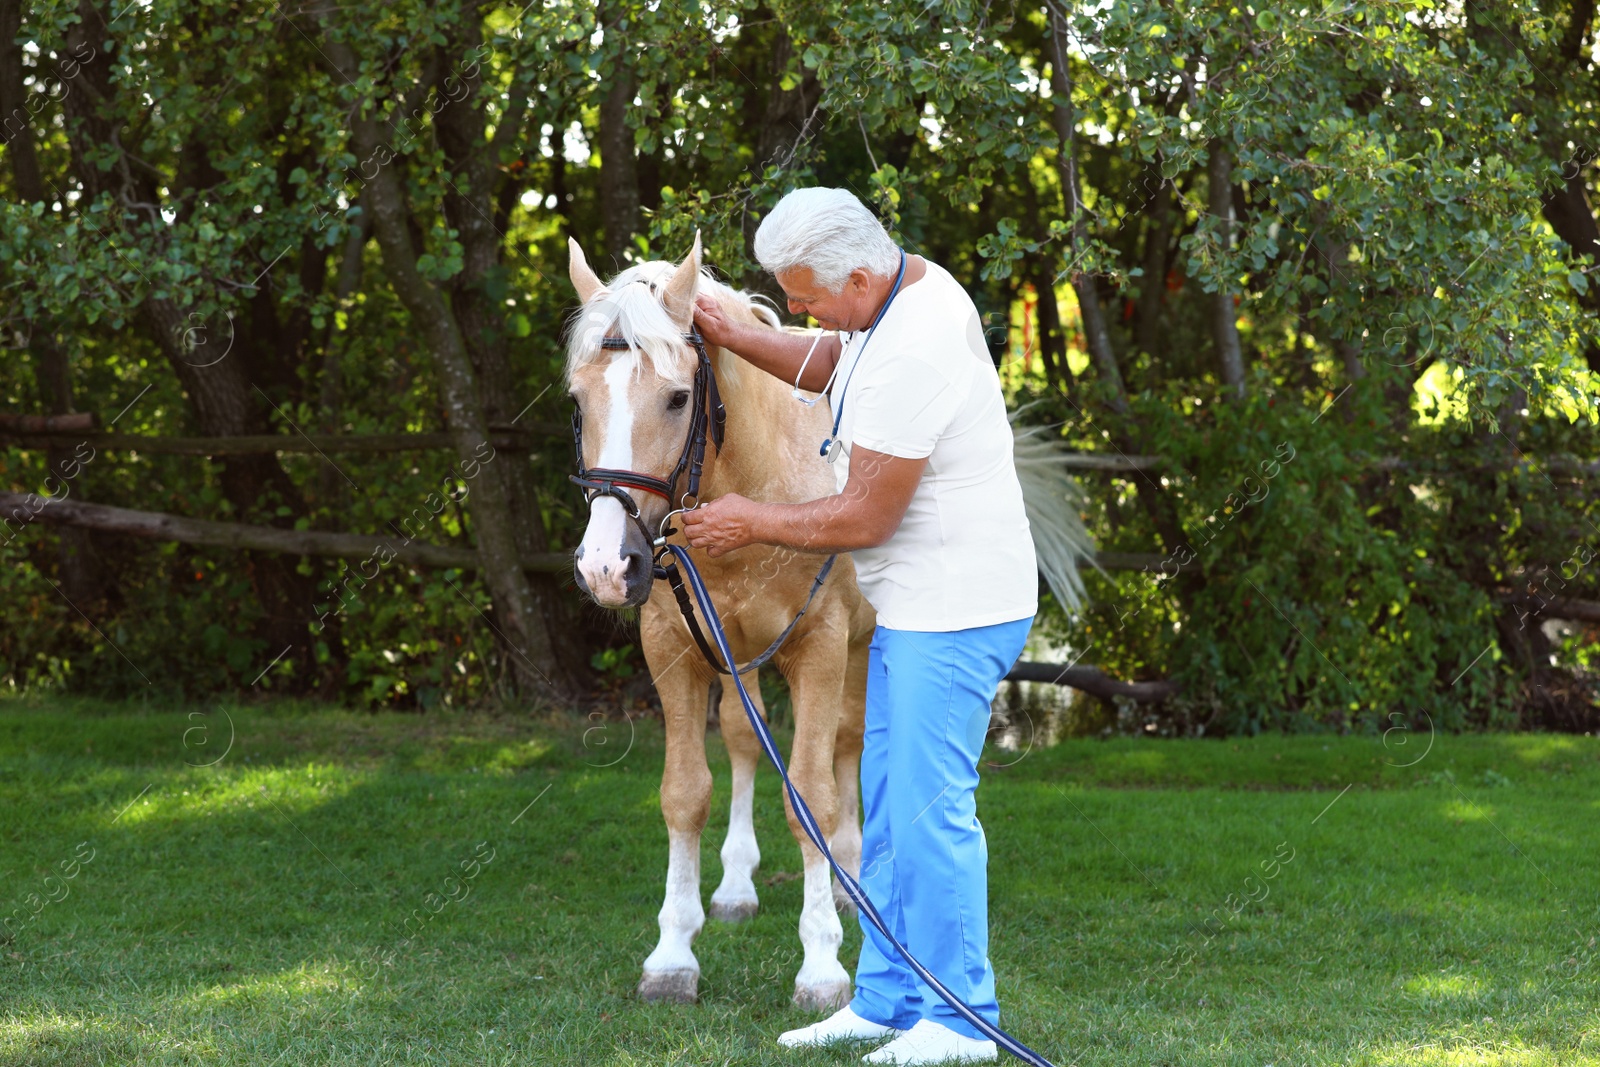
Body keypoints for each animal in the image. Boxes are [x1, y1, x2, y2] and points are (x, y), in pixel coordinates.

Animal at [569, 233, 876, 1011]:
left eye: (679, 397)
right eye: (579, 400)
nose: (607, 565)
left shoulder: (822, 645)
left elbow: (813, 797)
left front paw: (822, 966)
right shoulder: (673, 648)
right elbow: (686, 793)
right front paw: (673, 954)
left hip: (861, 648)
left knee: (848, 744)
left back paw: (853, 880)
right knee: (744, 739)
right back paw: (737, 885)